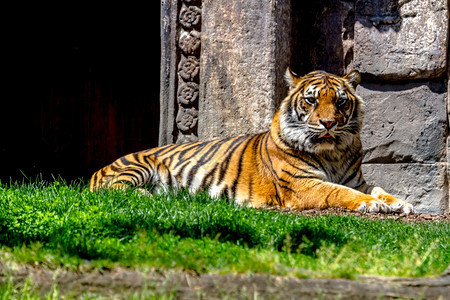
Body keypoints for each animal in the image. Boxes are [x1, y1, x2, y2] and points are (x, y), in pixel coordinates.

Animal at [90, 68, 414, 213]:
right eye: (311, 100)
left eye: (340, 102)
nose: (328, 123)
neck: (332, 152)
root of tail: (98, 169)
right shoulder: (302, 185)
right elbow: (338, 192)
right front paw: (372, 205)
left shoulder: (356, 179)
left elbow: (379, 188)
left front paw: (400, 202)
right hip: (140, 166)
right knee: (112, 190)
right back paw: (147, 196)